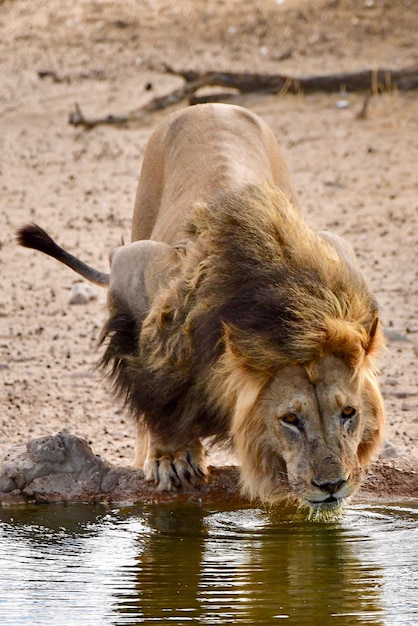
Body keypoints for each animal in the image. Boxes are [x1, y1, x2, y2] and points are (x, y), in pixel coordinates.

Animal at [17, 102, 386, 512]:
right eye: (290, 419)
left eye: (349, 413)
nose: (332, 484)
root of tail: (210, 104)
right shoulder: (135, 270)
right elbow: (154, 390)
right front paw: (171, 457)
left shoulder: (339, 255)